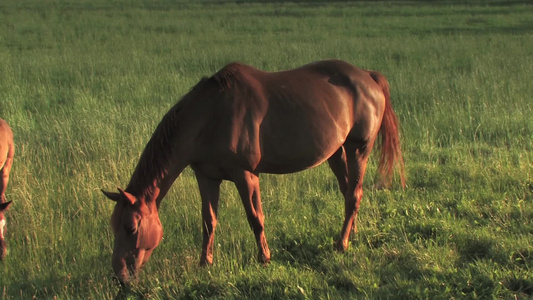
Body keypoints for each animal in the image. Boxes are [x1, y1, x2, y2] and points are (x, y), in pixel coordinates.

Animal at [102, 59, 406, 286]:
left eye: (131, 227)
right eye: (113, 225)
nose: (120, 277)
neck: (209, 115)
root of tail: (368, 76)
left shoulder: (245, 174)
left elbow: (255, 218)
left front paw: (265, 259)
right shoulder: (206, 176)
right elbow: (208, 221)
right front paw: (204, 264)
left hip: (358, 149)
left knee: (354, 194)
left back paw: (341, 244)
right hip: (336, 152)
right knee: (349, 192)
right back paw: (349, 235)